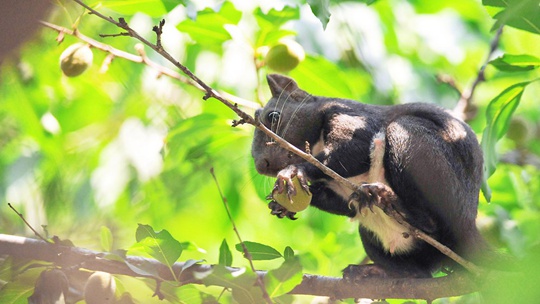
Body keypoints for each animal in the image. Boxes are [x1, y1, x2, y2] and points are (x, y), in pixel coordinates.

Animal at [253, 73, 490, 278]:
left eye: (273, 116)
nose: (261, 165)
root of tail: (469, 226)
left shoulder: (352, 119)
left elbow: (354, 151)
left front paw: (295, 170)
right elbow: (341, 204)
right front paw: (280, 205)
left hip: (419, 151)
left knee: (432, 223)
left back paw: (394, 204)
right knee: (420, 273)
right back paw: (373, 271)